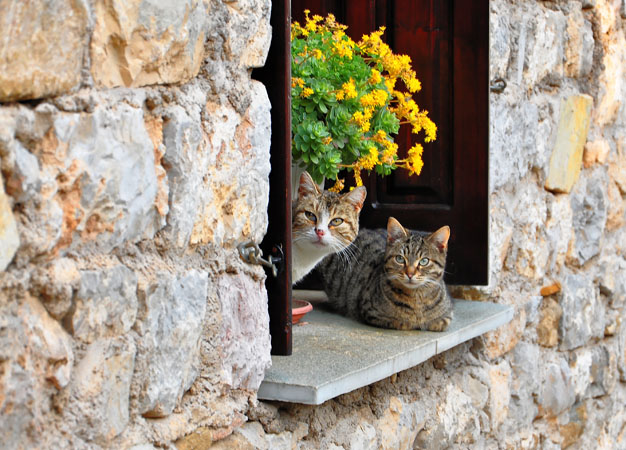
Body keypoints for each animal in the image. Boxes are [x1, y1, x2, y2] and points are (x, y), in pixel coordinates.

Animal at [320, 216, 450, 332]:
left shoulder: (447, 317)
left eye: (424, 261)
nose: (410, 274)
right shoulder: (371, 312)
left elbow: (438, 323)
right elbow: (402, 322)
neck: (416, 299)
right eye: (400, 259)